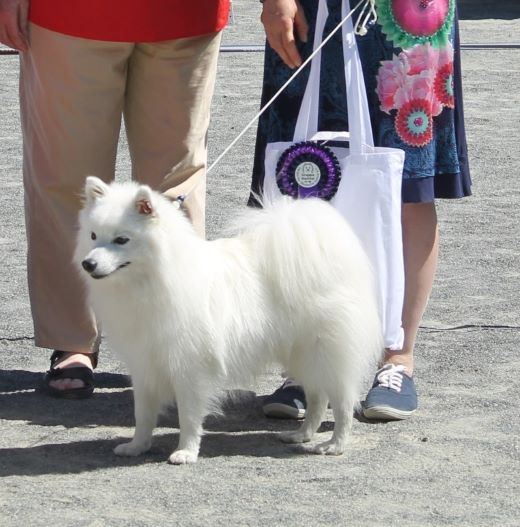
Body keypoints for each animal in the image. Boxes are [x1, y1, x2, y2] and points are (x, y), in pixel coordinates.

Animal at [74, 178, 382, 466]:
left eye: (121, 240)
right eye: (93, 236)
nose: (88, 264)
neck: (153, 279)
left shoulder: (190, 368)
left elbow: (188, 416)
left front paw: (186, 452)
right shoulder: (145, 364)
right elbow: (143, 414)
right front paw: (137, 446)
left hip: (326, 352)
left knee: (342, 403)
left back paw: (335, 445)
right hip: (302, 354)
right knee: (318, 398)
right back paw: (300, 435)